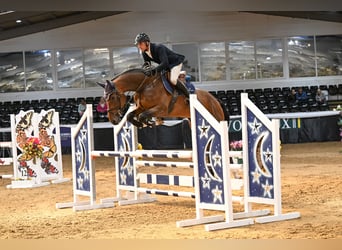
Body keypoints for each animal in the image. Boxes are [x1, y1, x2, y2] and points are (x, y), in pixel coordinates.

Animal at [97, 68, 230, 128]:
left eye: (112, 98)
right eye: (104, 99)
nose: (113, 120)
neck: (145, 85)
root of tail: (216, 100)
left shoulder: (161, 109)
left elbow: (143, 115)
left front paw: (148, 122)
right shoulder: (141, 107)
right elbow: (130, 115)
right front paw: (140, 124)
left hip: (216, 118)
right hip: (192, 120)